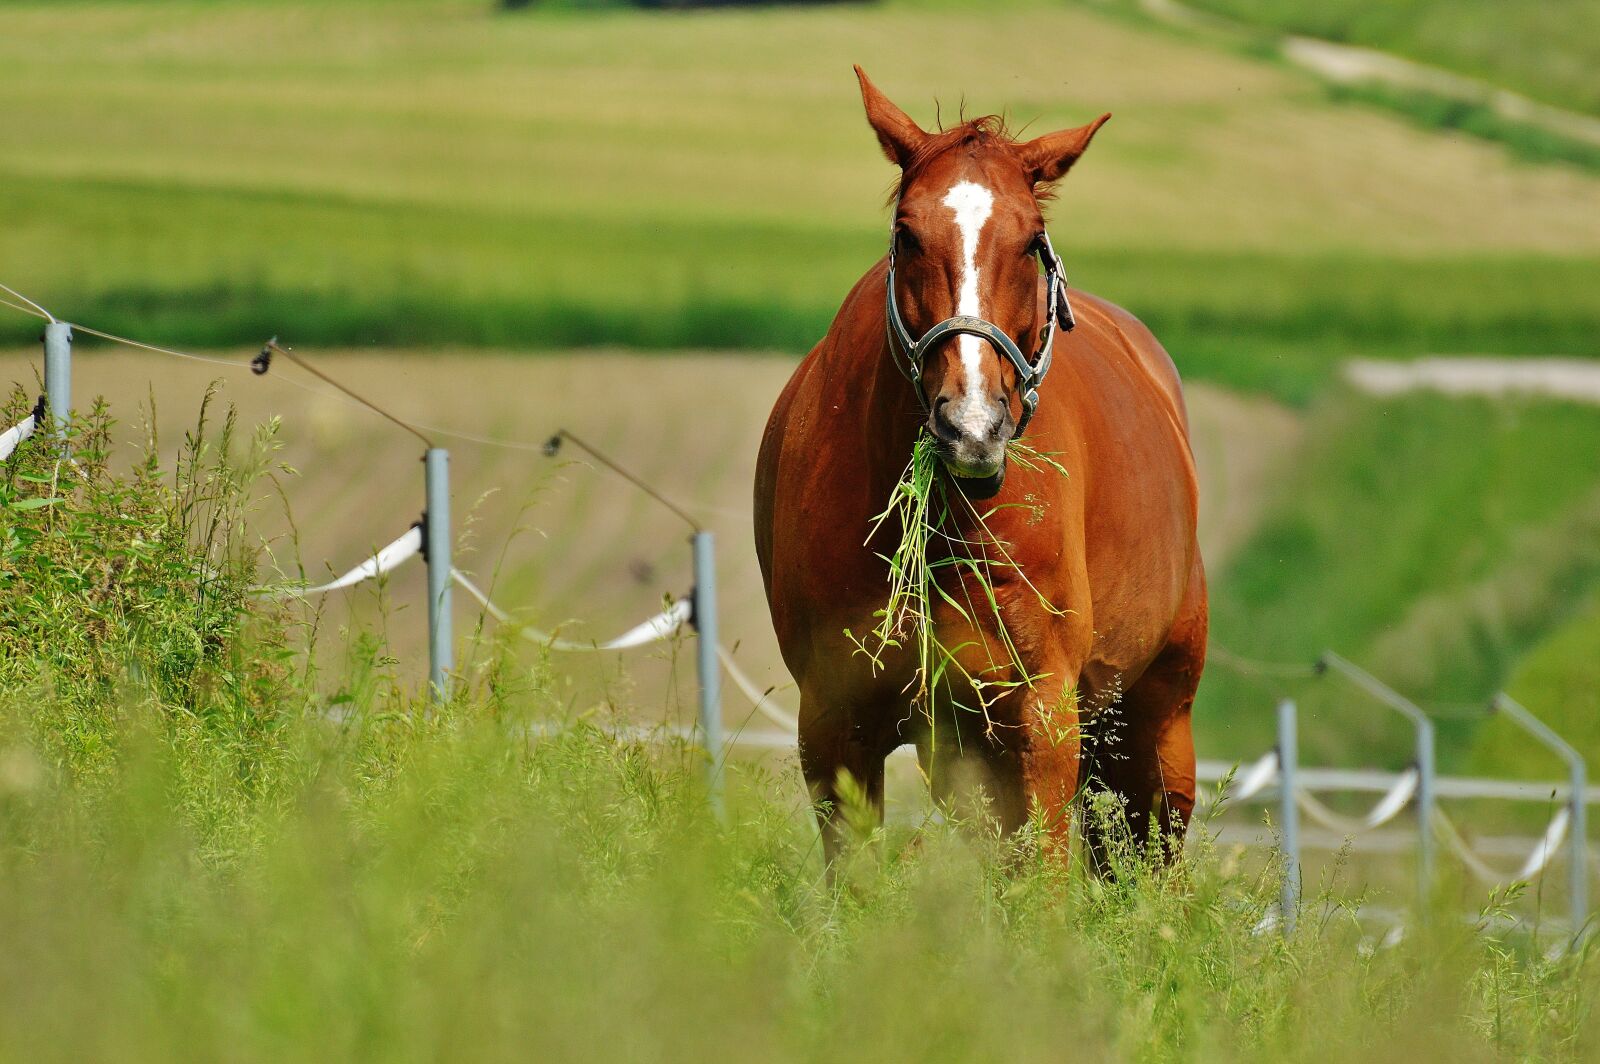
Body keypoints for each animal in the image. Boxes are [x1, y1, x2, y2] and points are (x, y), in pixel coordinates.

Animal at [754, 68, 1206, 867]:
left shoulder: (1044, 717)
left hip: (1159, 724)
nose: (971, 427)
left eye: (1030, 243)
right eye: (908, 233)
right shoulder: (837, 725)